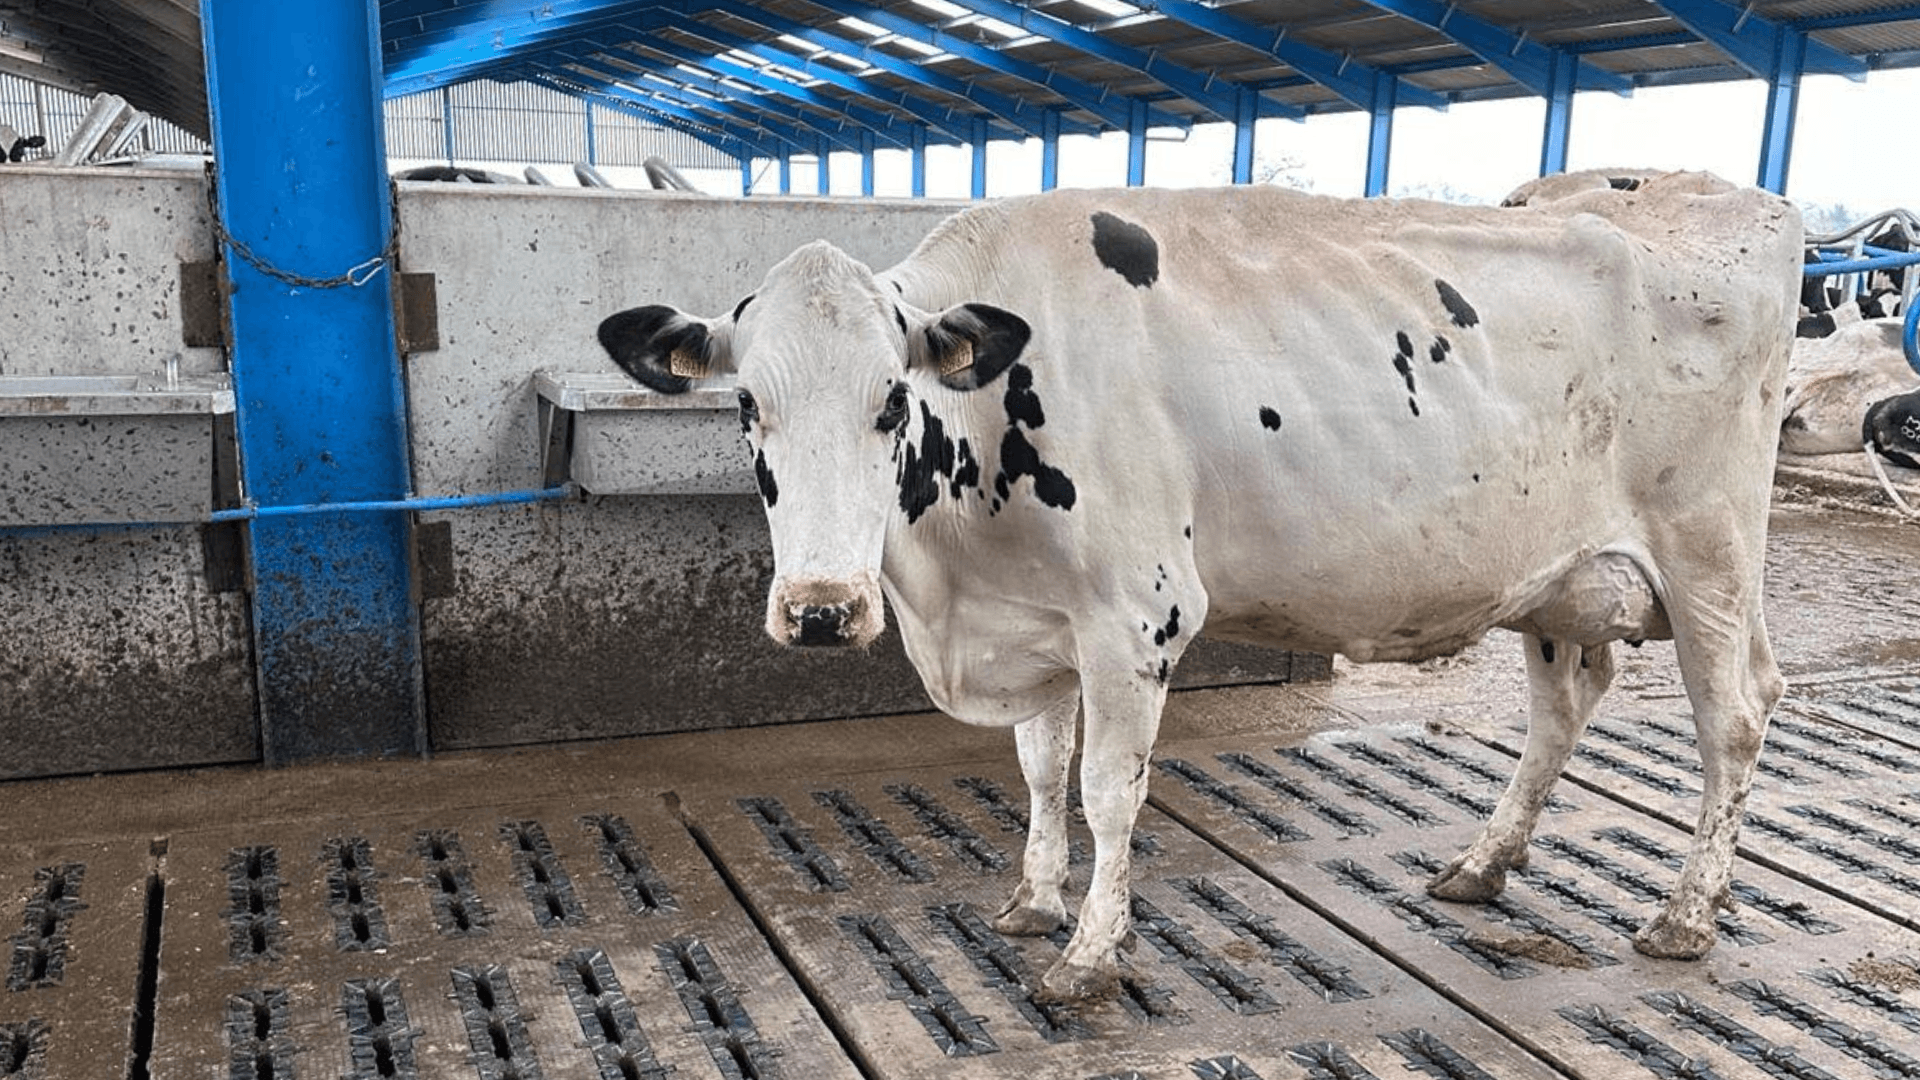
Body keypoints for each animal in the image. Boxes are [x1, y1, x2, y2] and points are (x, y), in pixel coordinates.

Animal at [598, 174, 1802, 1003]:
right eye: (746, 406)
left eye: (892, 402)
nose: (820, 610)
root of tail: (1720, 195)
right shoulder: (1040, 619)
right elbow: (1039, 772)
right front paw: (1033, 902)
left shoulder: (1137, 618)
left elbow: (1106, 792)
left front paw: (1089, 954)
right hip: (1557, 579)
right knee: (1564, 706)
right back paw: (1481, 863)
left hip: (1709, 554)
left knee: (1735, 714)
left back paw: (1687, 916)